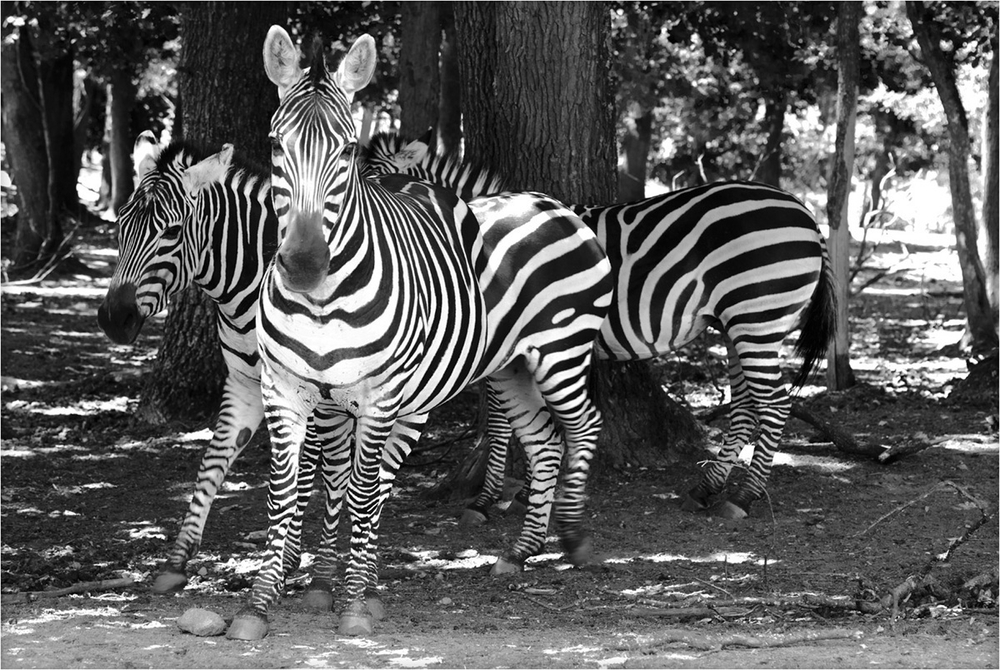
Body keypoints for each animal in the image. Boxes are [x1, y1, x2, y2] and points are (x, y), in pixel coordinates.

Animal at [226, 28, 611, 641]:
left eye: (346, 151)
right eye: (274, 145)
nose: (304, 266)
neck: (322, 303)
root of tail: (551, 203)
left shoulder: (380, 397)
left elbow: (360, 492)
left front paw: (353, 603)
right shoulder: (288, 391)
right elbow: (288, 493)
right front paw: (262, 605)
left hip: (561, 352)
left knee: (584, 426)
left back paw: (572, 539)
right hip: (512, 367)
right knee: (545, 441)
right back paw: (520, 552)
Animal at [361, 133, 837, 523]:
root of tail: (802, 210)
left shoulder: (504, 343)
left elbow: (500, 422)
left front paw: (488, 500)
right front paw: (531, 491)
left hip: (758, 317)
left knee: (774, 404)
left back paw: (744, 497)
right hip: (735, 324)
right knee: (744, 405)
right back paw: (706, 489)